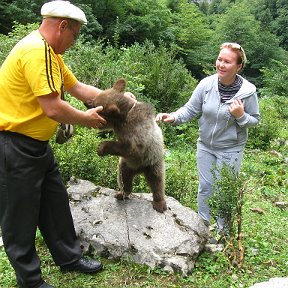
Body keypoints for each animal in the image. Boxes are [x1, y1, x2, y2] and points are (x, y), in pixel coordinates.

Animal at [86, 79, 166, 214]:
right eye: (96, 97)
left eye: (96, 104)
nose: (87, 102)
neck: (124, 118)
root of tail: (139, 170)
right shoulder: (118, 126)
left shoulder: (136, 136)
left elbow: (129, 148)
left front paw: (101, 147)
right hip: (126, 165)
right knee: (123, 177)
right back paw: (122, 193)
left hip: (152, 162)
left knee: (157, 181)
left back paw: (160, 203)